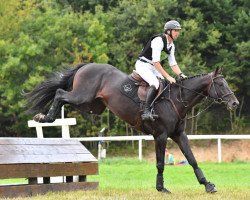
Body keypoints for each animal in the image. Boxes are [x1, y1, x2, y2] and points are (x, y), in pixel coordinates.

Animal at [24, 63, 238, 193]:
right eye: (220, 84)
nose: (234, 103)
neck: (177, 100)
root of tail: (86, 65)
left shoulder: (179, 135)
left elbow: (192, 159)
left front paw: (208, 185)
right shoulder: (161, 136)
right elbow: (160, 163)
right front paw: (161, 188)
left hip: (92, 105)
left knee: (63, 96)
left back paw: (46, 117)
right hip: (82, 96)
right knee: (60, 93)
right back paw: (45, 117)